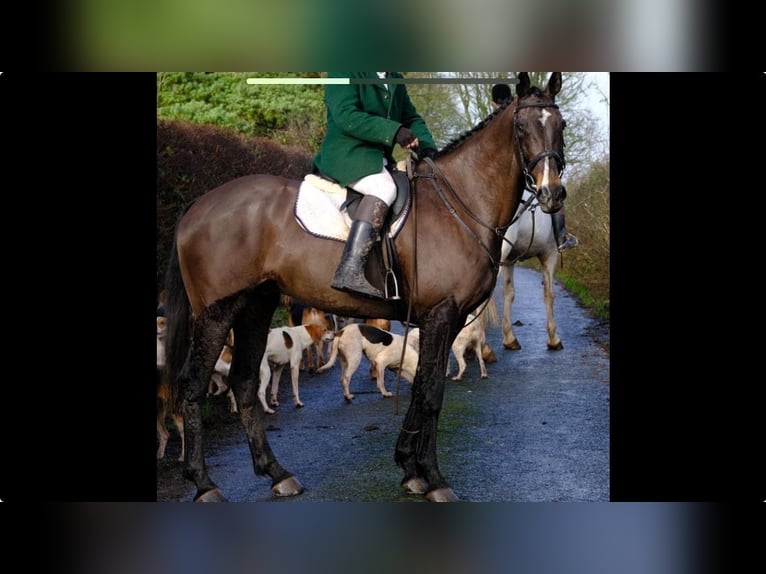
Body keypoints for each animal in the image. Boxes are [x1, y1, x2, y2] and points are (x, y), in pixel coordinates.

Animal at [500, 191, 568, 352]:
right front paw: (553, 339)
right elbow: (549, 294)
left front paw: (509, 338)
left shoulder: (509, 259)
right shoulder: (550, 253)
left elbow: (509, 293)